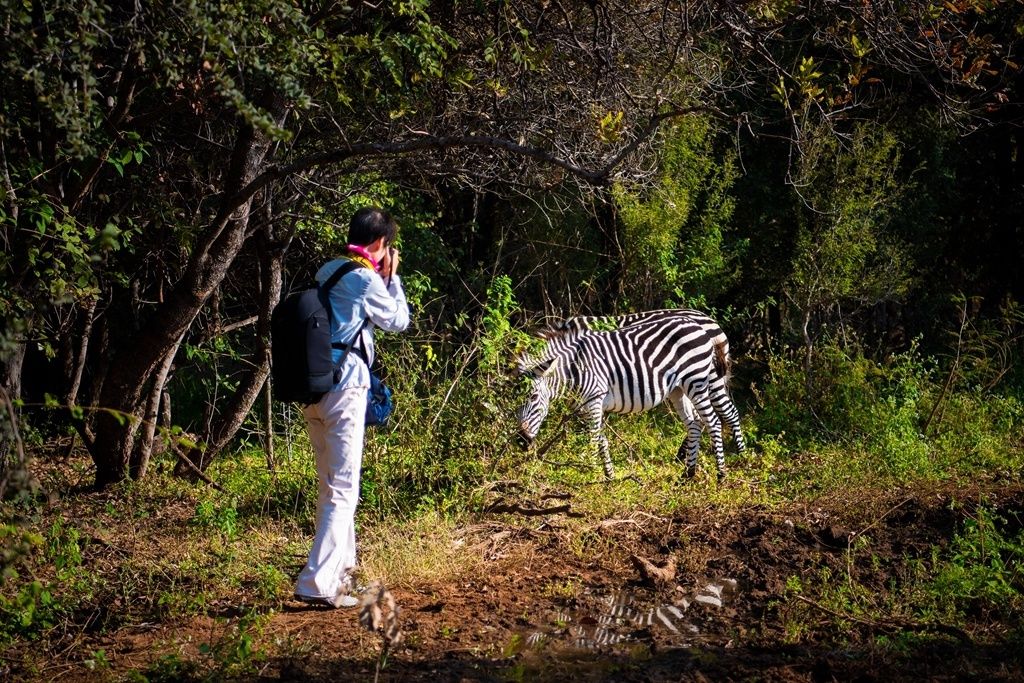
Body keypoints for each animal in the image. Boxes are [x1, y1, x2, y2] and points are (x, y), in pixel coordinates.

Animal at [520, 315, 745, 481]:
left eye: (533, 397)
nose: (521, 442)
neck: (575, 367)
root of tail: (703, 323)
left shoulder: (594, 400)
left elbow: (592, 438)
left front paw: (587, 470)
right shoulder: (590, 405)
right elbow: (601, 438)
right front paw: (608, 476)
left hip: (701, 380)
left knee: (717, 419)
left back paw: (727, 470)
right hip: (679, 389)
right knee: (696, 423)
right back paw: (687, 473)